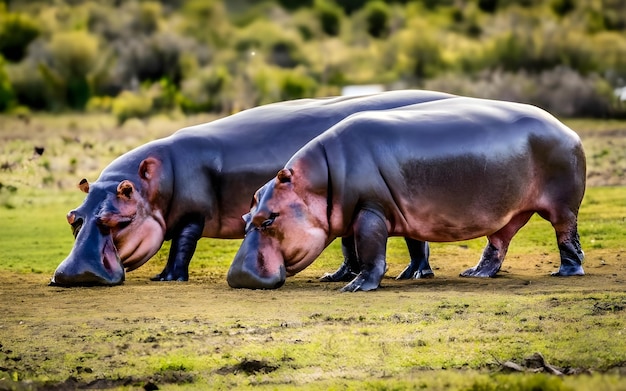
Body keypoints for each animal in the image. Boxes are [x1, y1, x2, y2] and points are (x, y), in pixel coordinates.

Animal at [50, 91, 454, 288]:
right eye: (73, 217)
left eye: (123, 204)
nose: (74, 274)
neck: (156, 179)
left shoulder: (192, 217)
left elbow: (181, 246)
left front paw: (167, 278)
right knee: (355, 242)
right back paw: (344, 276)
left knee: (415, 238)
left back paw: (415, 274)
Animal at [225, 97, 584, 292]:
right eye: (246, 215)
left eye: (269, 218)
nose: (237, 276)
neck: (317, 181)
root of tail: (566, 128)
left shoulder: (370, 211)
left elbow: (370, 252)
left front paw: (354, 286)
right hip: (510, 211)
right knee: (498, 243)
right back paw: (475, 273)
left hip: (562, 206)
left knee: (566, 235)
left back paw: (565, 271)